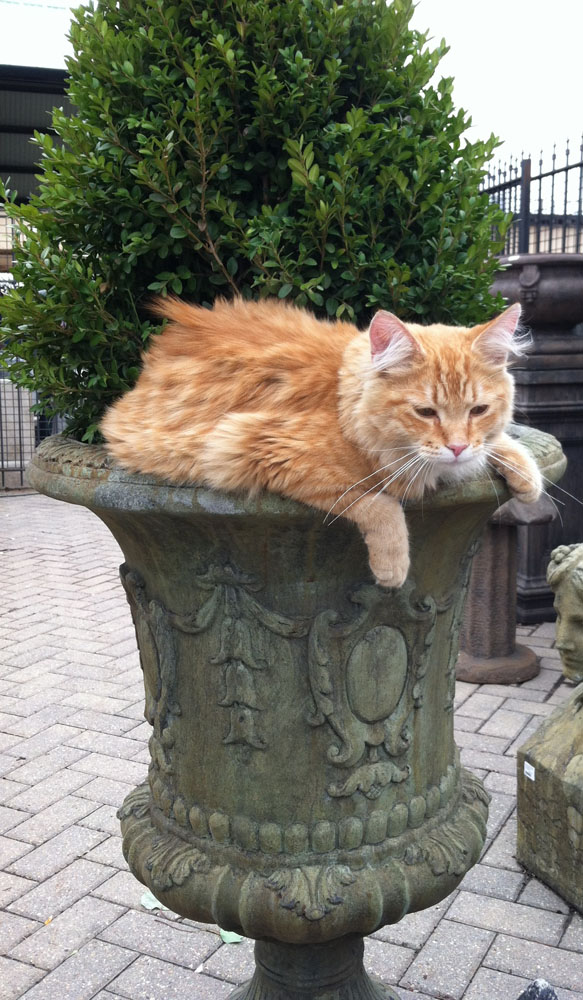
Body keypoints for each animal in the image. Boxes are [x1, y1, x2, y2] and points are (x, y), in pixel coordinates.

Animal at [101, 297, 542, 588]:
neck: (344, 403)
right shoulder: (254, 446)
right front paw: (393, 566)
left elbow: (501, 443)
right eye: (425, 412)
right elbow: (378, 505)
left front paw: (527, 478)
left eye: (478, 410)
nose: (456, 447)